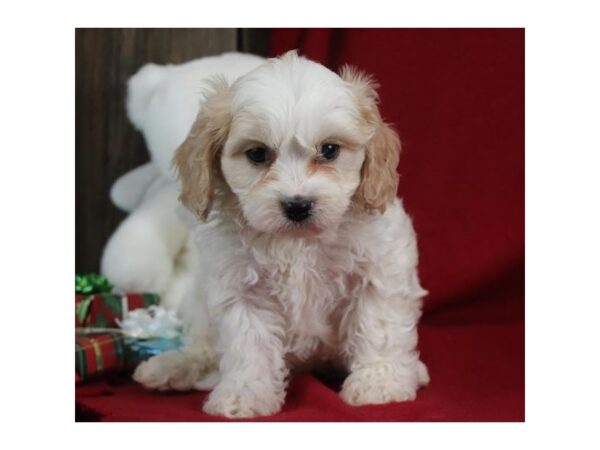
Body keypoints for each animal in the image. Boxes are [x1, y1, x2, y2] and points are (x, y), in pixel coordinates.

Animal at [134, 51, 428, 418]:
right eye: (258, 154)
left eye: (329, 150)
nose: (298, 205)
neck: (298, 242)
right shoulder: (242, 290)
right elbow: (249, 344)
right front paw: (244, 394)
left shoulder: (377, 272)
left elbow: (379, 327)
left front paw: (380, 383)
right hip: (200, 307)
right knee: (201, 349)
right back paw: (170, 367)